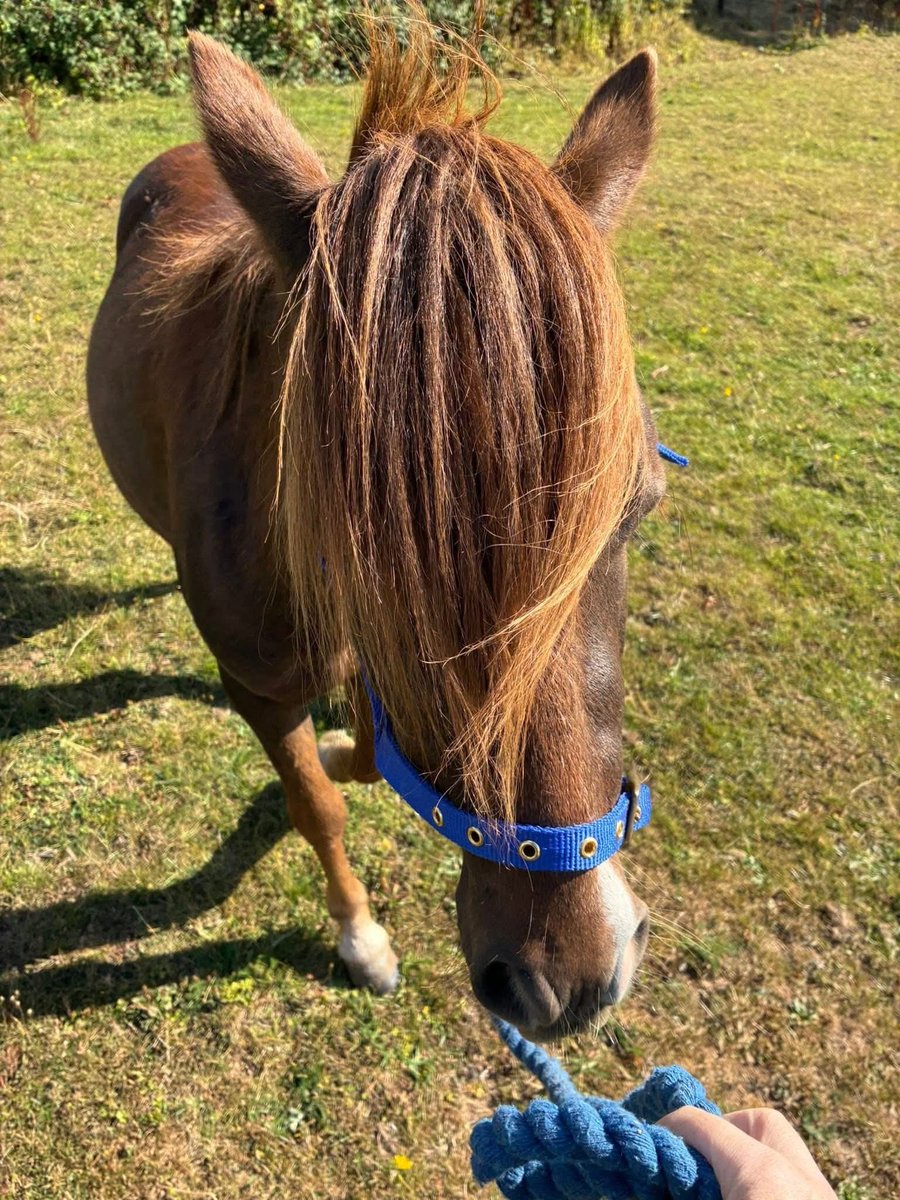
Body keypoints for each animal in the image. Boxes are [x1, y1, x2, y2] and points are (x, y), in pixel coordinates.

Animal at [87, 18, 666, 1040]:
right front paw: (360, 935)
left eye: (639, 509)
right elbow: (318, 802)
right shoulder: (260, 685)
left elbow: (363, 749)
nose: (571, 979)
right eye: (372, 551)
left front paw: (346, 746)